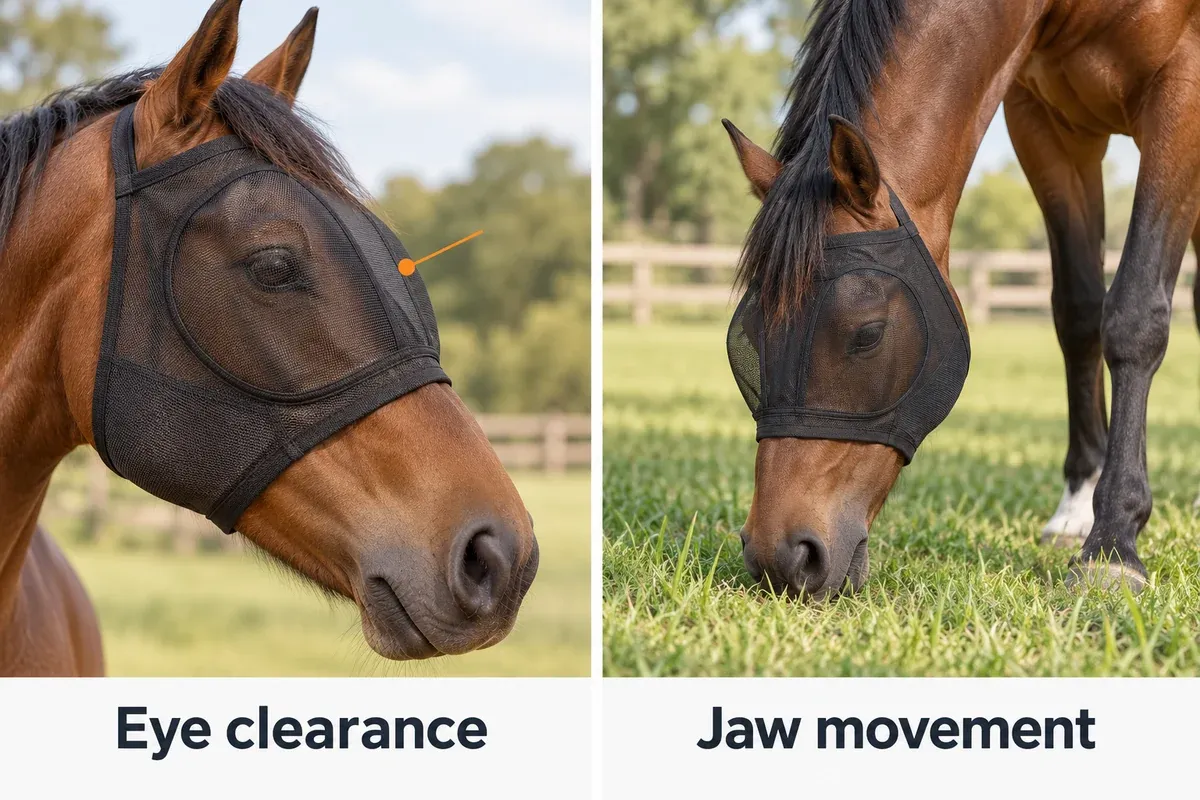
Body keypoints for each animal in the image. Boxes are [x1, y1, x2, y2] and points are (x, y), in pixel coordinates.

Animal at [723, 0, 1200, 599]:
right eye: (749, 339)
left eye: (867, 333)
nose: (779, 556)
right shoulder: (1045, 125)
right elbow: (1078, 313)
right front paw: (1077, 509)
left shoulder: (1182, 88)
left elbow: (1134, 314)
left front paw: (1113, 546)